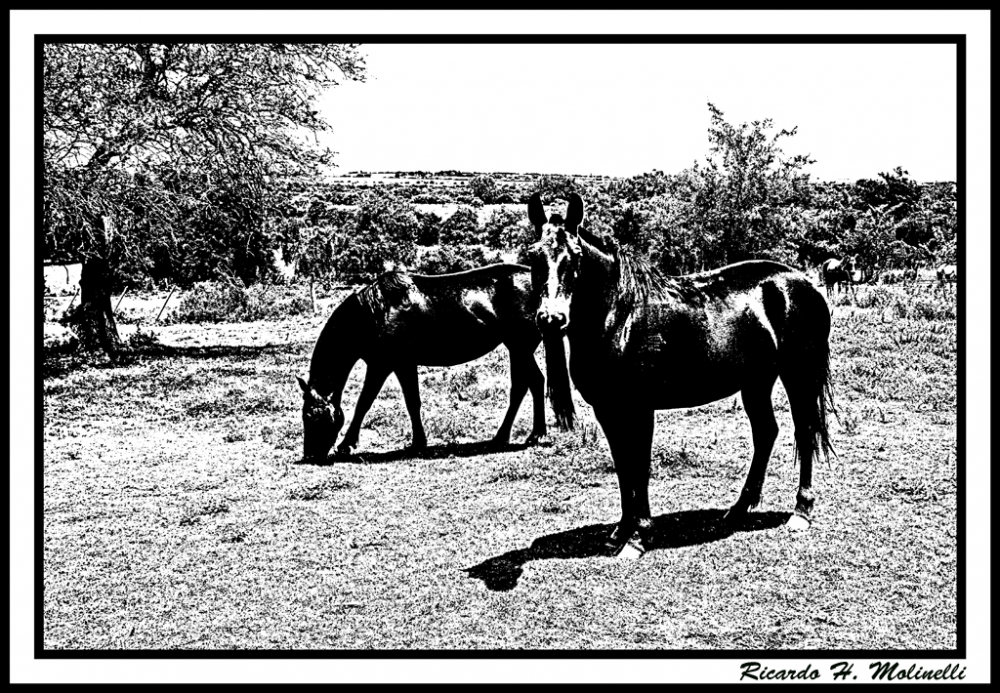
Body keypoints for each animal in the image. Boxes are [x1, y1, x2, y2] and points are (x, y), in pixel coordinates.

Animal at [296, 264, 548, 460]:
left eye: (309, 416)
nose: (310, 455)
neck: (373, 312)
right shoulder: (400, 365)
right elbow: (411, 402)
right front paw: (418, 442)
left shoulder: (384, 365)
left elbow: (365, 403)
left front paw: (346, 445)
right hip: (518, 349)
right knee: (523, 387)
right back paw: (503, 437)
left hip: (520, 347)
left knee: (534, 382)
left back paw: (535, 435)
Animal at [528, 191, 832, 556]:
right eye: (532, 256)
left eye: (574, 257)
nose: (551, 319)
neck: (620, 318)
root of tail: (805, 284)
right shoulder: (607, 410)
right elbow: (623, 467)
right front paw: (621, 531)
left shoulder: (640, 409)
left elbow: (639, 467)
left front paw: (638, 537)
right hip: (756, 382)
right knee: (766, 433)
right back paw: (738, 510)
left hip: (799, 374)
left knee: (805, 430)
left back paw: (801, 512)